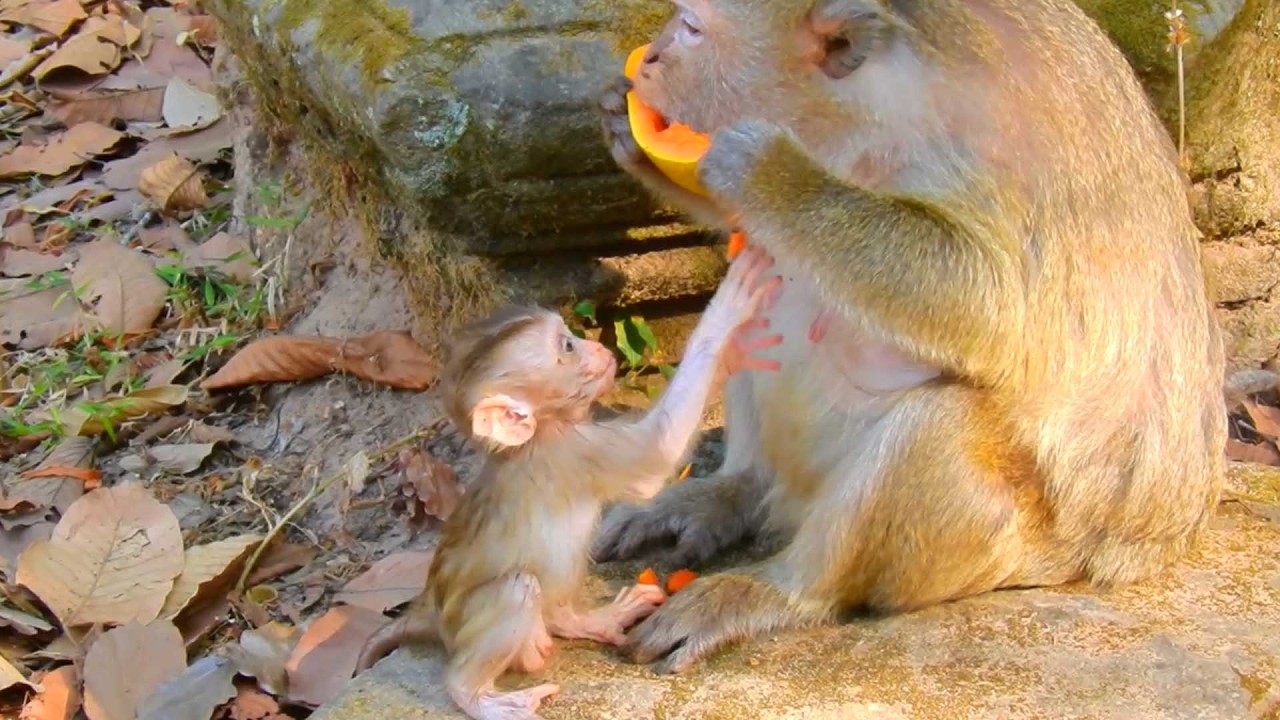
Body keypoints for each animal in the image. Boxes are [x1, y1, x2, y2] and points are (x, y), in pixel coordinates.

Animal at [354, 246, 783, 720]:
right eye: (568, 346)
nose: (596, 346)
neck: (537, 434)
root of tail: (429, 608)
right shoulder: (572, 451)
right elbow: (655, 456)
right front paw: (728, 310)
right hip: (468, 624)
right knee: (516, 591)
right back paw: (474, 694)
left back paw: (586, 621)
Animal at [592, 0, 1226, 675]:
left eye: (689, 28)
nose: (650, 58)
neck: (859, 117)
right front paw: (622, 126)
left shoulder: (979, 142)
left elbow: (991, 300)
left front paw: (768, 173)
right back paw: (734, 491)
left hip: (999, 544)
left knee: (942, 420)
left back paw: (781, 590)